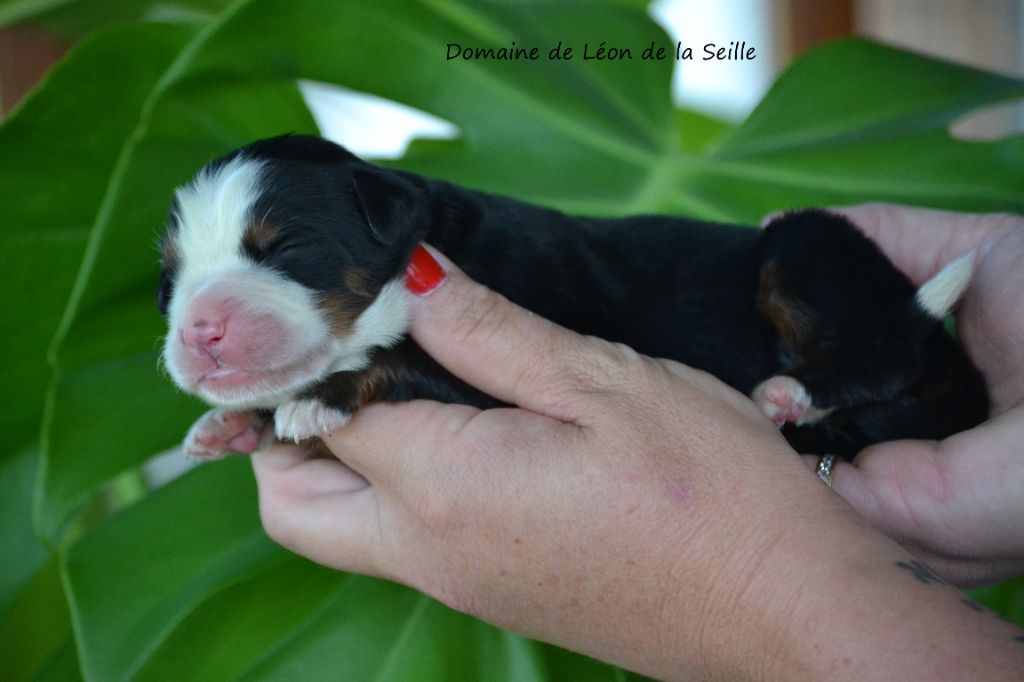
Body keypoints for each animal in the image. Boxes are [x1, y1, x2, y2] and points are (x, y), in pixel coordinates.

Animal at [159, 133, 991, 456]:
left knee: (880, 350)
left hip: (805, 242)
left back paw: (793, 392)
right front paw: (227, 427)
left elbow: (402, 358)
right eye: (169, 277)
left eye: (284, 248)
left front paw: (317, 399)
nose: (198, 329)